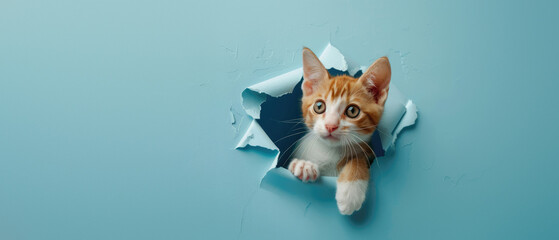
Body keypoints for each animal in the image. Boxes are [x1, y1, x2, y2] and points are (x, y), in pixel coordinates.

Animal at [288, 47, 390, 216]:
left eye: (352, 111)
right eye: (319, 106)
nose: (331, 126)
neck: (330, 152)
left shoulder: (367, 152)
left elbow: (358, 158)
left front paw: (350, 192)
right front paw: (303, 165)